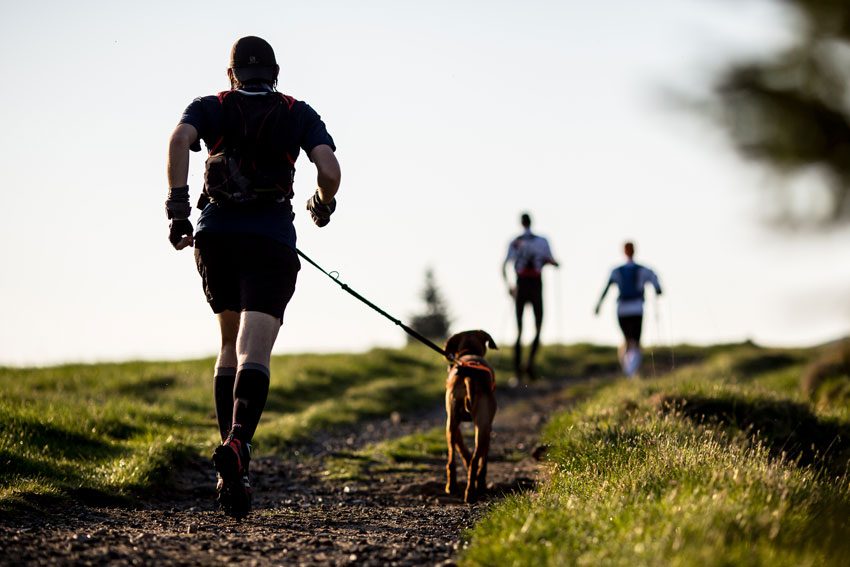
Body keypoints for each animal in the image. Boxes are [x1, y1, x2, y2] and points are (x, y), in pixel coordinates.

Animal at [444, 330, 496, 504]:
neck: (469, 352)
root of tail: (468, 375)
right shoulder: (488, 427)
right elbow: (483, 460)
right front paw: (481, 483)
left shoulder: (455, 424)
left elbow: (463, 451)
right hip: (482, 427)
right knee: (475, 460)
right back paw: (472, 491)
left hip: (451, 424)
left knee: (452, 461)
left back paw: (454, 487)